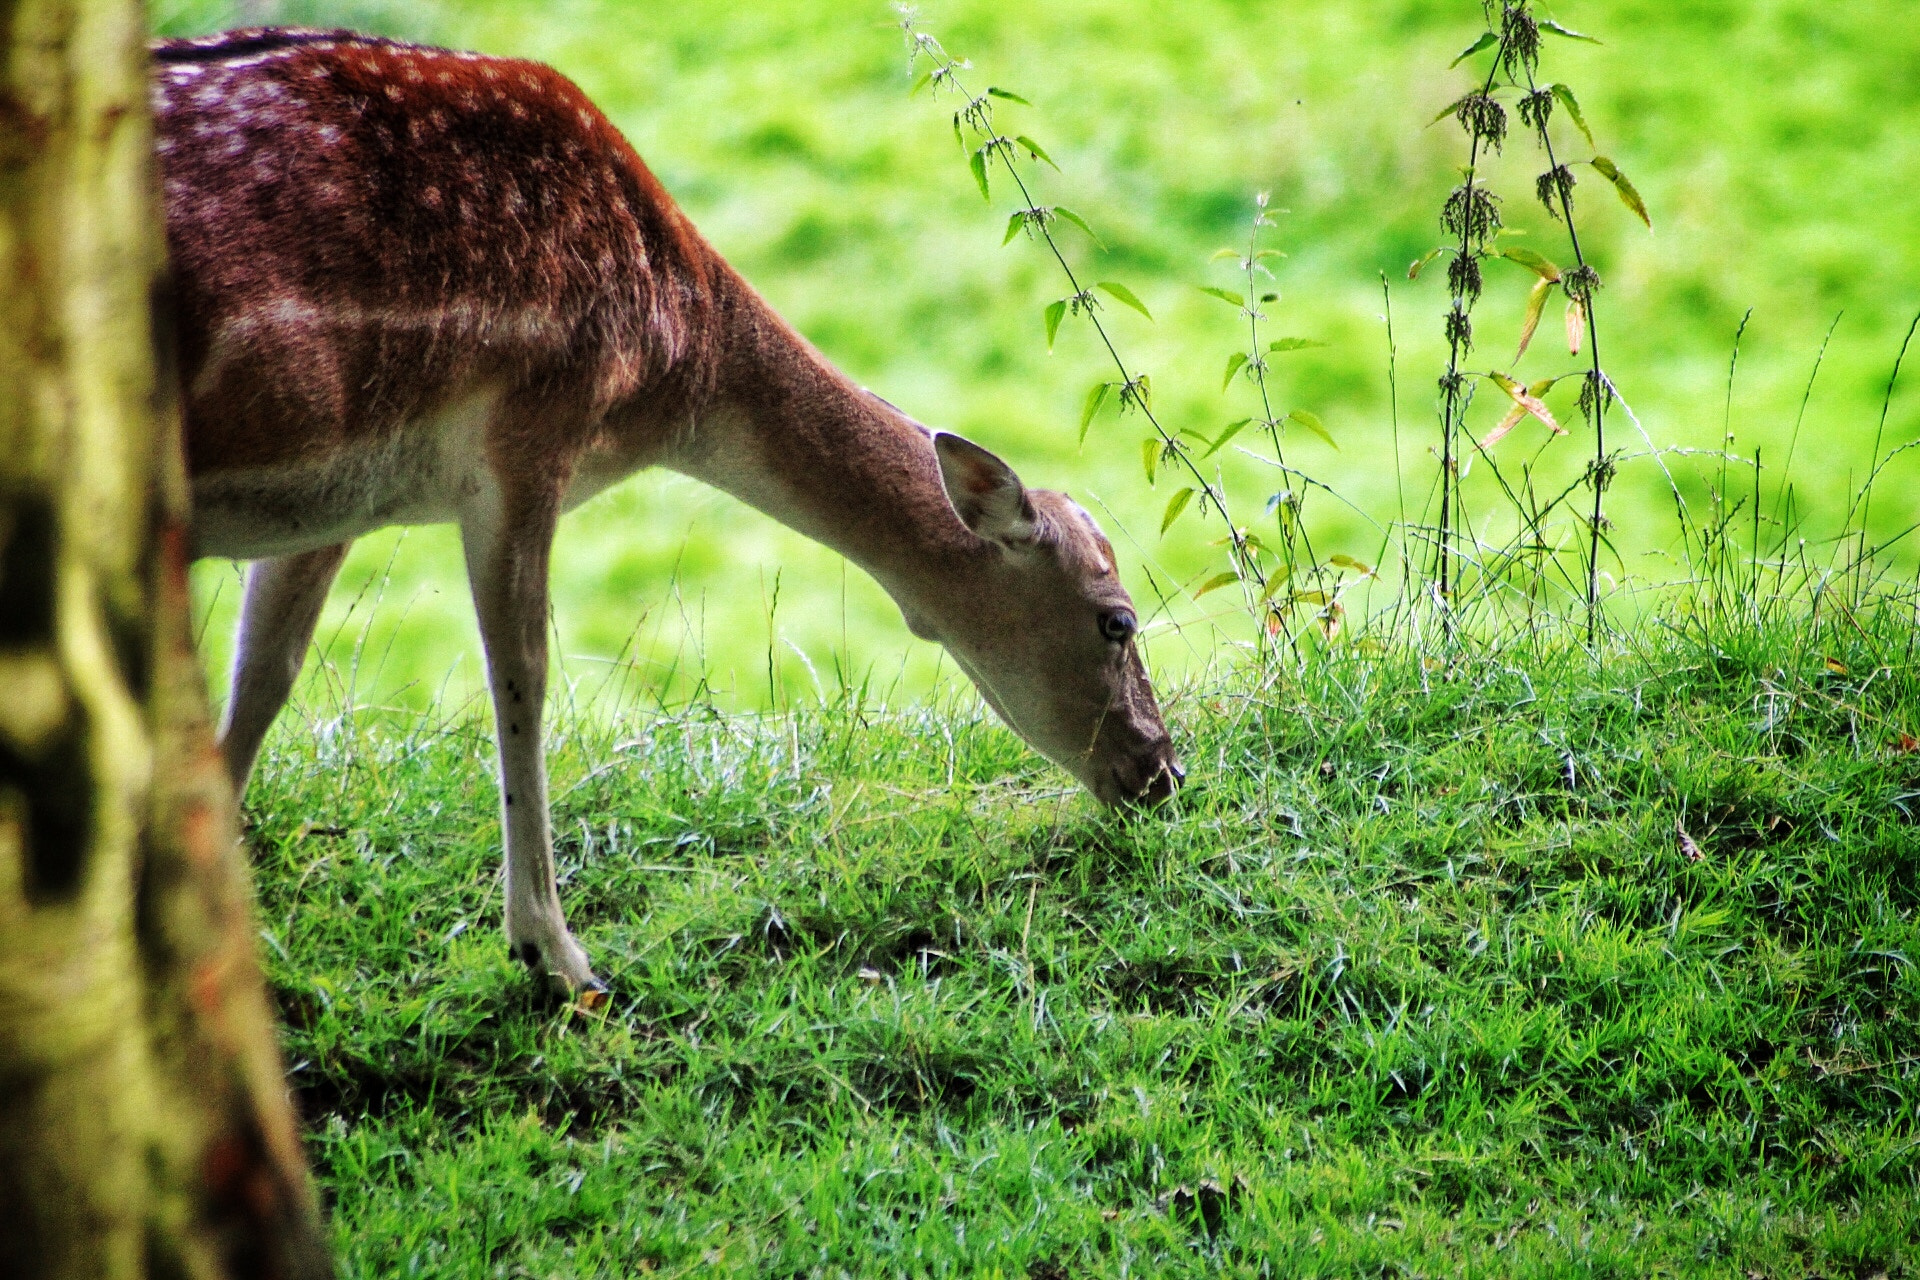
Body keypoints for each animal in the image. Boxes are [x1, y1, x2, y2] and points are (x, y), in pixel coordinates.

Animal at [149, 27, 1175, 997]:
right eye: (1117, 621)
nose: (1163, 769)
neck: (667, 366)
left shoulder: (337, 497)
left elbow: (264, 673)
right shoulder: (526, 436)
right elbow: (522, 678)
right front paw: (557, 957)